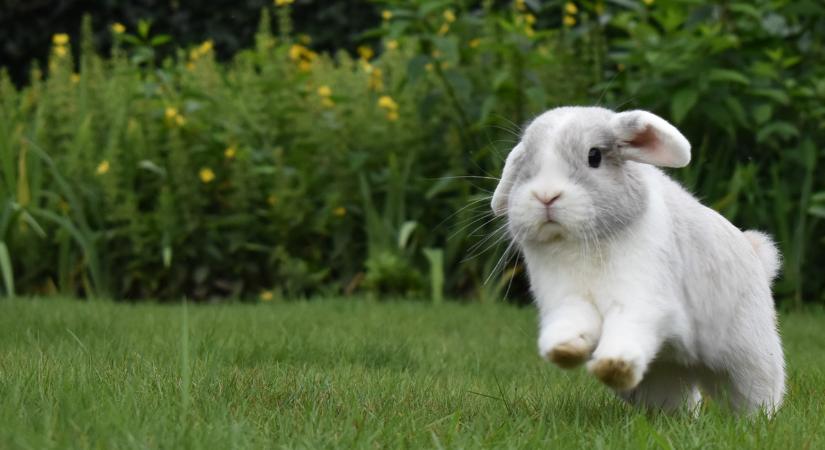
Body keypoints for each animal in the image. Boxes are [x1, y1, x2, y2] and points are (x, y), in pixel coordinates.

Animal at [490, 105, 784, 414]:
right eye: (526, 160)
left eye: (594, 156)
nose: (546, 195)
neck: (584, 244)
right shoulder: (569, 301)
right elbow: (570, 325)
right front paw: (565, 351)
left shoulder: (641, 300)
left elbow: (628, 328)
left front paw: (613, 366)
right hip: (664, 377)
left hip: (749, 359)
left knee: (755, 393)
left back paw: (760, 418)